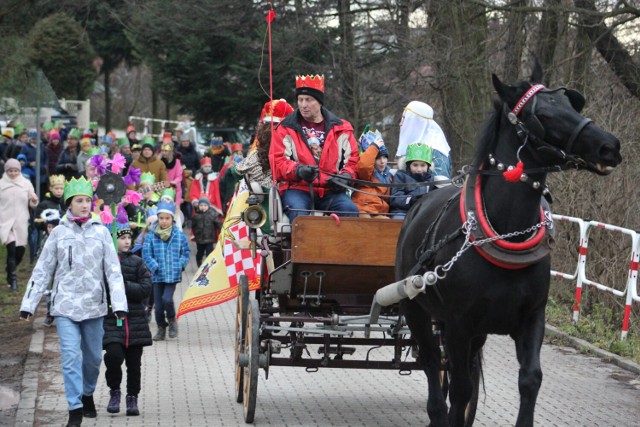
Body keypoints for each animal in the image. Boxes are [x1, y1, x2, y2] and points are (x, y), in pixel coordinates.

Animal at [398, 64, 624, 427]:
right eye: (542, 114)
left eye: (572, 105)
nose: (609, 146)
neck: (506, 233)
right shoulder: (459, 323)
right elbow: (459, 386)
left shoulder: (531, 319)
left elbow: (529, 379)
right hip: (416, 311)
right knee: (432, 364)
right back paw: (436, 411)